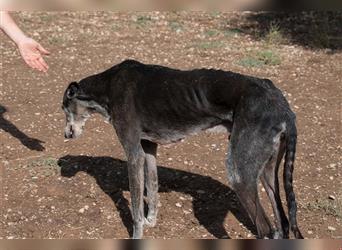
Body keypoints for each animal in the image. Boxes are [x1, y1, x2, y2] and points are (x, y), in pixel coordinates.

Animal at [62, 59, 304, 239]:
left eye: (65, 108)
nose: (66, 135)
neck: (109, 85)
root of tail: (282, 105)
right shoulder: (148, 149)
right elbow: (152, 186)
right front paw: (151, 221)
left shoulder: (133, 153)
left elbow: (135, 207)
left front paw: (138, 233)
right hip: (266, 173)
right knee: (282, 224)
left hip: (240, 174)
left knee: (266, 229)